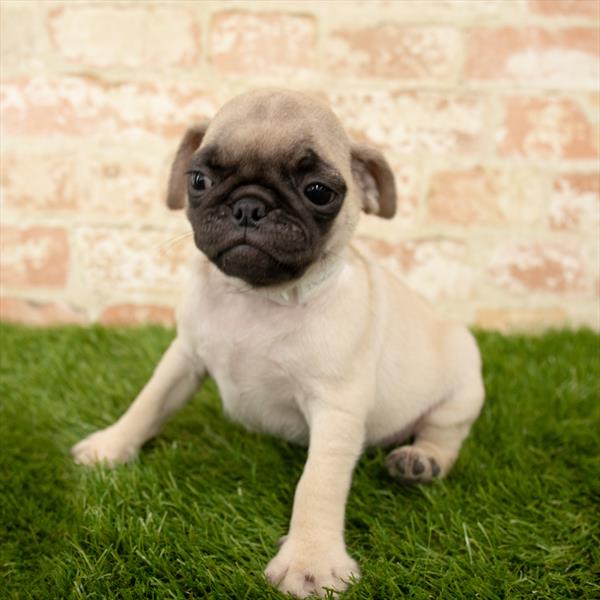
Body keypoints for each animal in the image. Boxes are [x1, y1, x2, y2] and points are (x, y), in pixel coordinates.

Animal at [71, 90, 482, 600]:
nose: (249, 206)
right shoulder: (184, 357)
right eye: (199, 180)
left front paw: (311, 562)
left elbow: (318, 483)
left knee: (446, 433)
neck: (259, 299)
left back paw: (420, 461)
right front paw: (111, 447)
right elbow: (148, 403)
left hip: (464, 382)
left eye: (318, 191)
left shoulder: (336, 408)